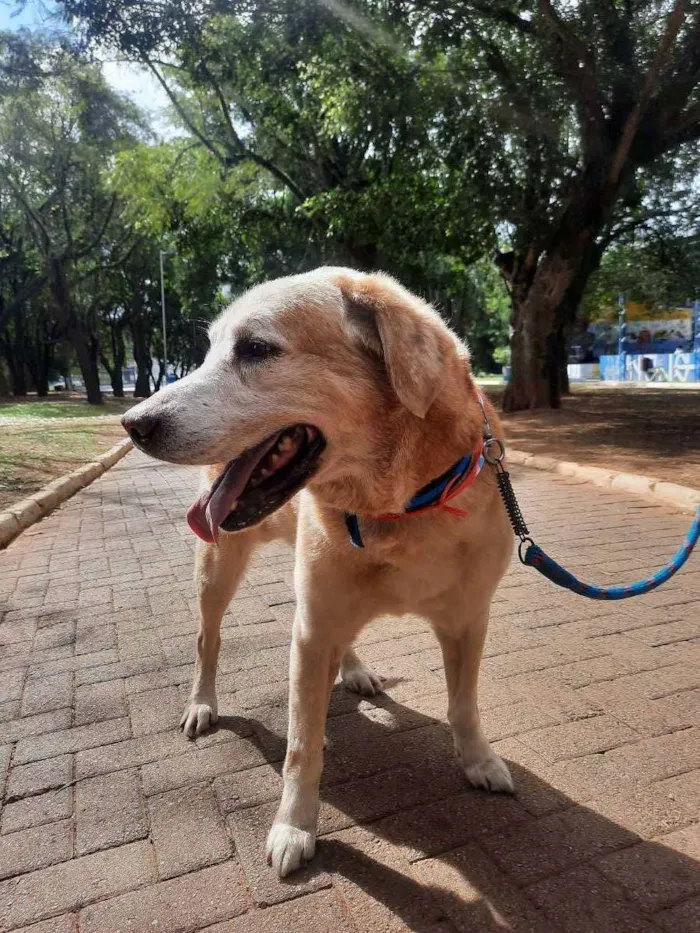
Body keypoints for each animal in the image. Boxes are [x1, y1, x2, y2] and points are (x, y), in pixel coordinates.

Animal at [121, 266, 516, 876]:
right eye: (207, 350)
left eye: (256, 349)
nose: (133, 423)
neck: (396, 510)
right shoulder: (310, 631)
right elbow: (300, 746)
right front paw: (294, 827)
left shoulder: (469, 619)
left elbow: (463, 704)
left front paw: (478, 761)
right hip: (219, 570)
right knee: (207, 640)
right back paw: (203, 705)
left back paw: (352, 671)